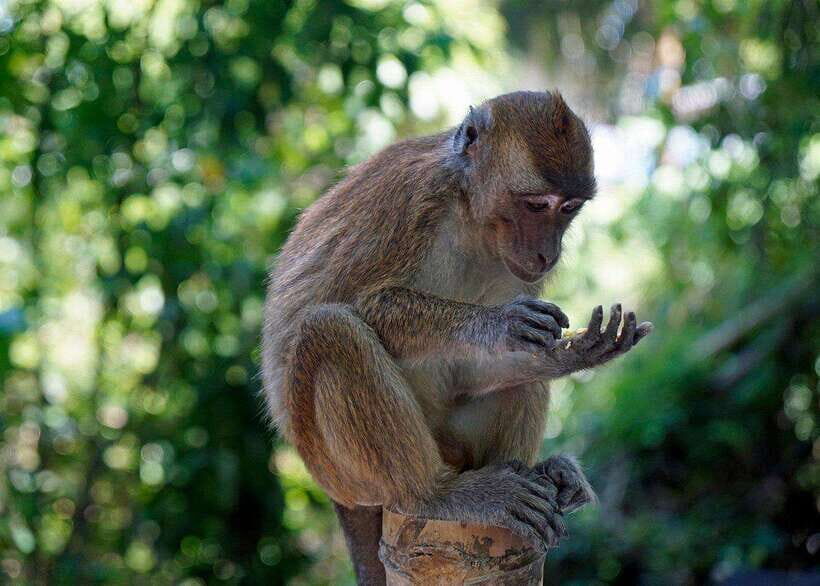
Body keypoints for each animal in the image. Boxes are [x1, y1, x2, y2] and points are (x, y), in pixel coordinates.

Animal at [261, 90, 652, 584]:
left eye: (569, 207)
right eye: (536, 204)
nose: (548, 253)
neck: (470, 213)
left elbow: (497, 359)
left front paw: (577, 352)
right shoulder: (412, 199)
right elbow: (358, 301)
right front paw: (498, 323)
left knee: (519, 375)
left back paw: (542, 473)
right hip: (337, 467)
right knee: (329, 329)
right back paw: (435, 494)